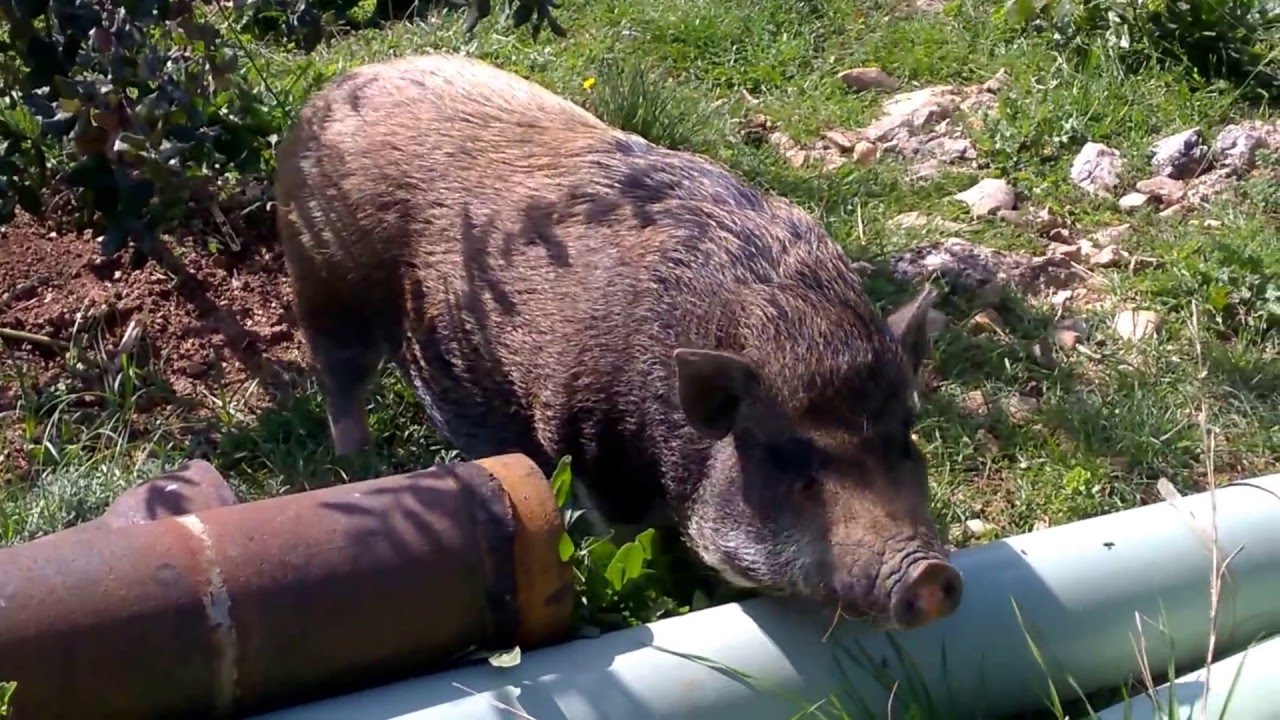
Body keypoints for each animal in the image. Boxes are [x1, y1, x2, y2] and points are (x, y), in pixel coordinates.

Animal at [274, 53, 962, 630]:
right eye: (791, 460)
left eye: (905, 439)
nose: (931, 575)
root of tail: (330, 91)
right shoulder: (587, 439)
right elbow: (622, 536)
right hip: (322, 278)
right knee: (338, 378)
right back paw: (358, 464)